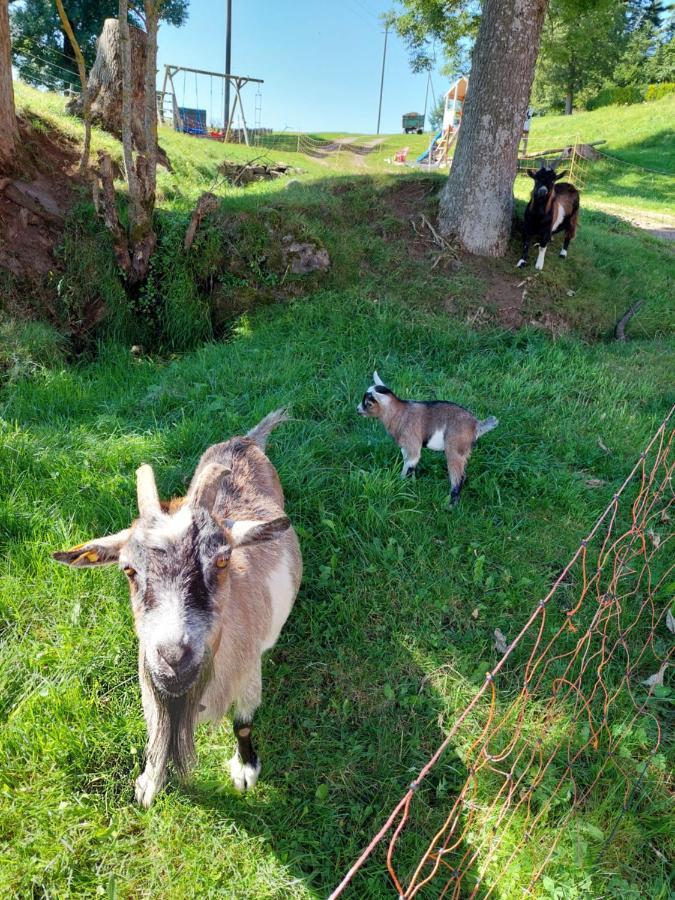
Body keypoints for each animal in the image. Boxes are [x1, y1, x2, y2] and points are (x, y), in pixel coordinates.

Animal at [54, 408, 302, 808]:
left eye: (222, 560)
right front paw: (149, 784)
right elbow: (156, 734)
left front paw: (245, 771)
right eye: (128, 569)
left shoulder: (249, 672)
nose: (173, 659)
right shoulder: (151, 687)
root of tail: (245, 440)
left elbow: (243, 724)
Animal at [356, 370, 500, 502]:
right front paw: (410, 484)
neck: (399, 413)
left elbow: (410, 464)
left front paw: (402, 484)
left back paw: (450, 504)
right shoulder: (405, 447)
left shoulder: (412, 442)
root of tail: (476, 425)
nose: (357, 410)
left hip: (455, 448)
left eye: (368, 403)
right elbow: (409, 464)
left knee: (458, 476)